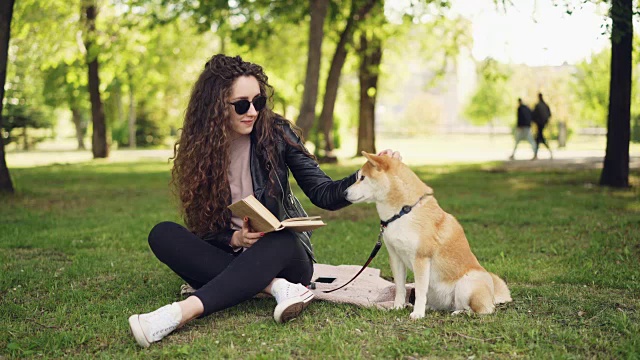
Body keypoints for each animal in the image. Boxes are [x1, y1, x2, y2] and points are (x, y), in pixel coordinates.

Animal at [344, 152, 510, 318]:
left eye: (362, 177)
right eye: (358, 177)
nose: (344, 193)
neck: (403, 212)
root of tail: (493, 294)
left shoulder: (421, 259)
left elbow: (420, 291)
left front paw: (417, 314)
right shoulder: (396, 257)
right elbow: (400, 288)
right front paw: (398, 307)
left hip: (467, 284)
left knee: (483, 310)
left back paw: (461, 312)